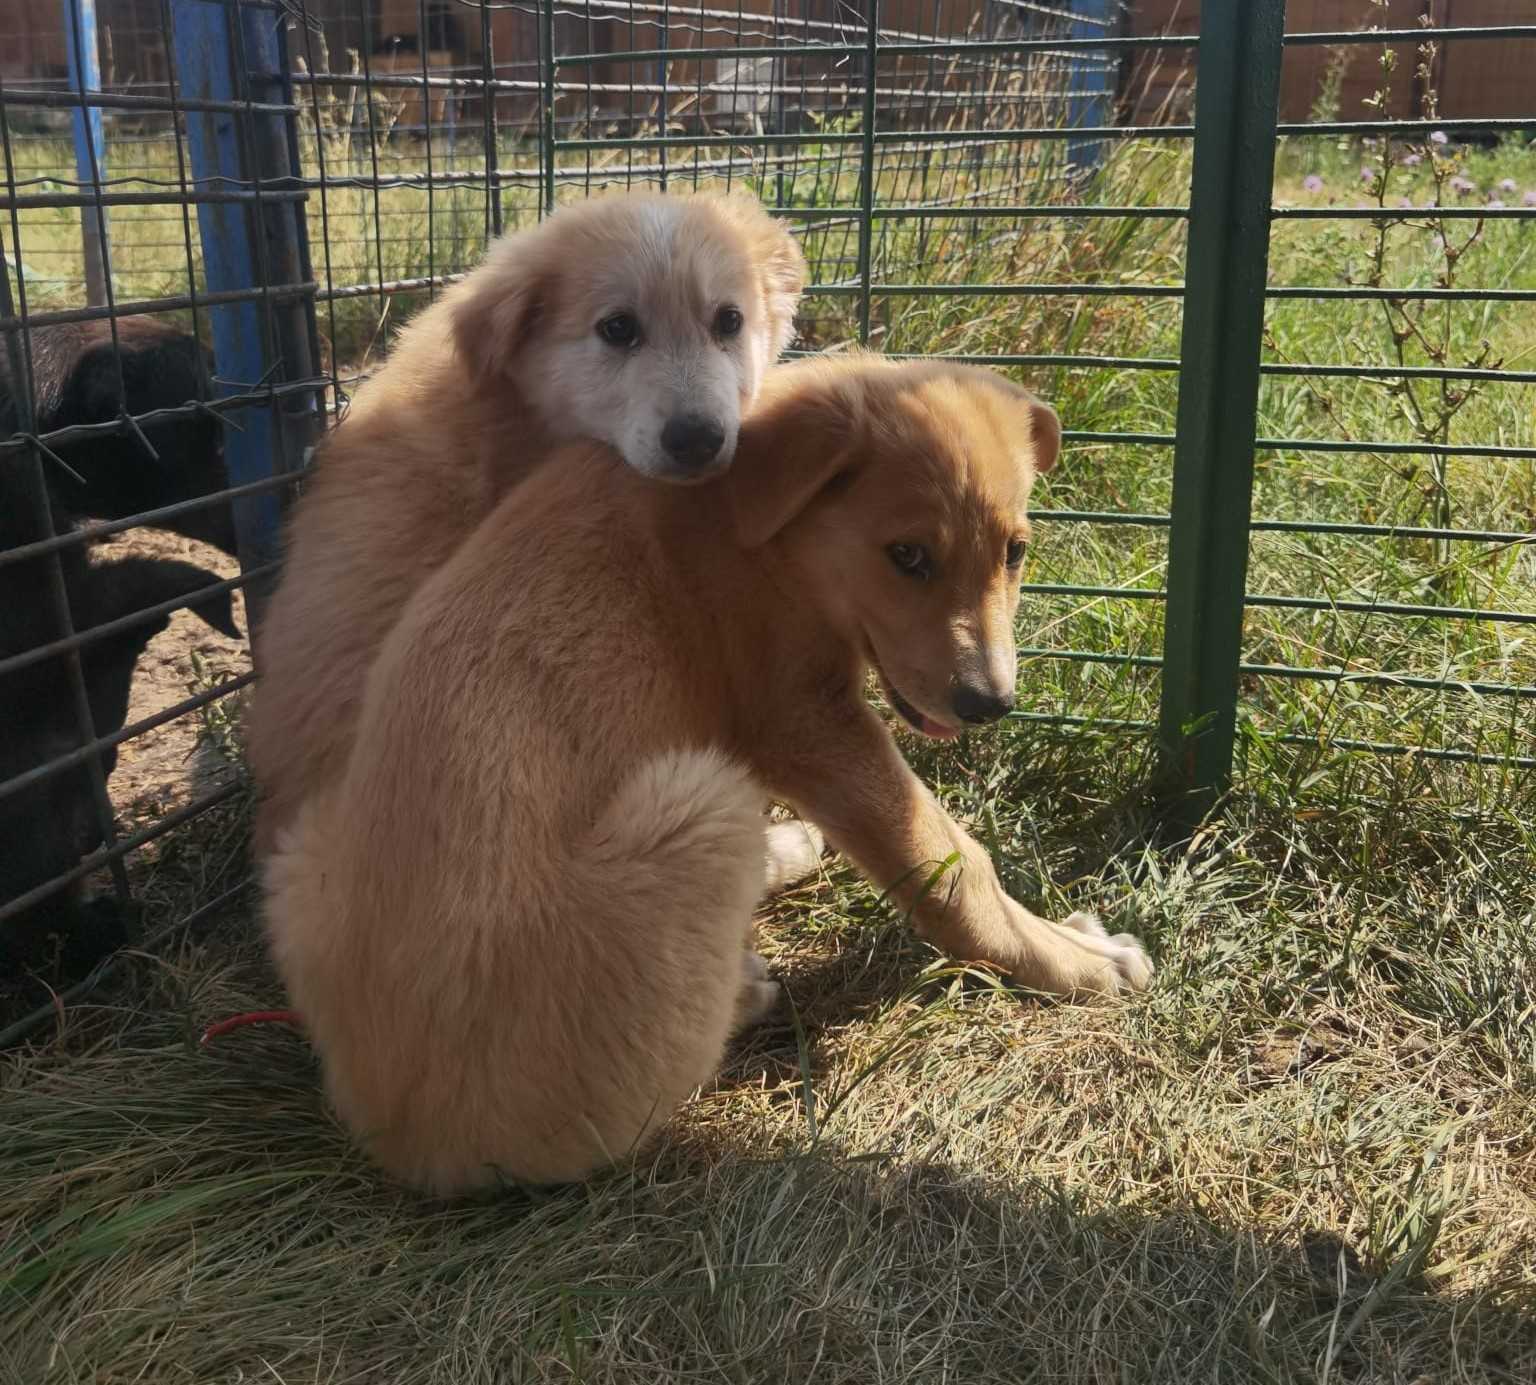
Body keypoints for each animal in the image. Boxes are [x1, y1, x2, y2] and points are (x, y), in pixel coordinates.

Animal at [264, 354, 1155, 1191]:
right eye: (907, 555)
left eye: (1016, 552)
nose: (989, 703)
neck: (757, 525)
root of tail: (397, 1137)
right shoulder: (804, 720)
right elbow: (952, 864)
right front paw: (1077, 961)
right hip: (701, 795)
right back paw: (747, 988)